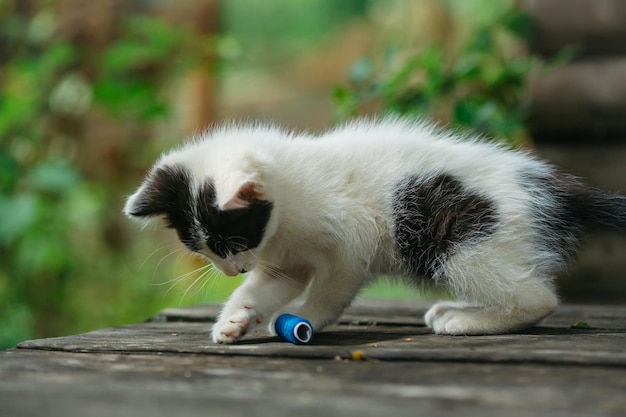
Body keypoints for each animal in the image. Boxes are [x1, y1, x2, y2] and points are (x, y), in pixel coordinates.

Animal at [123, 117, 624, 342]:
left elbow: (332, 288)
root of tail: (544, 182)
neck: (292, 193)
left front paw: (306, 318)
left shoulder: (349, 243)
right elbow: (267, 287)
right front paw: (235, 318)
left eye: (232, 242)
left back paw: (466, 320)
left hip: (457, 238)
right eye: (203, 249)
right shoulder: (285, 260)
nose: (231, 270)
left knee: (537, 297)